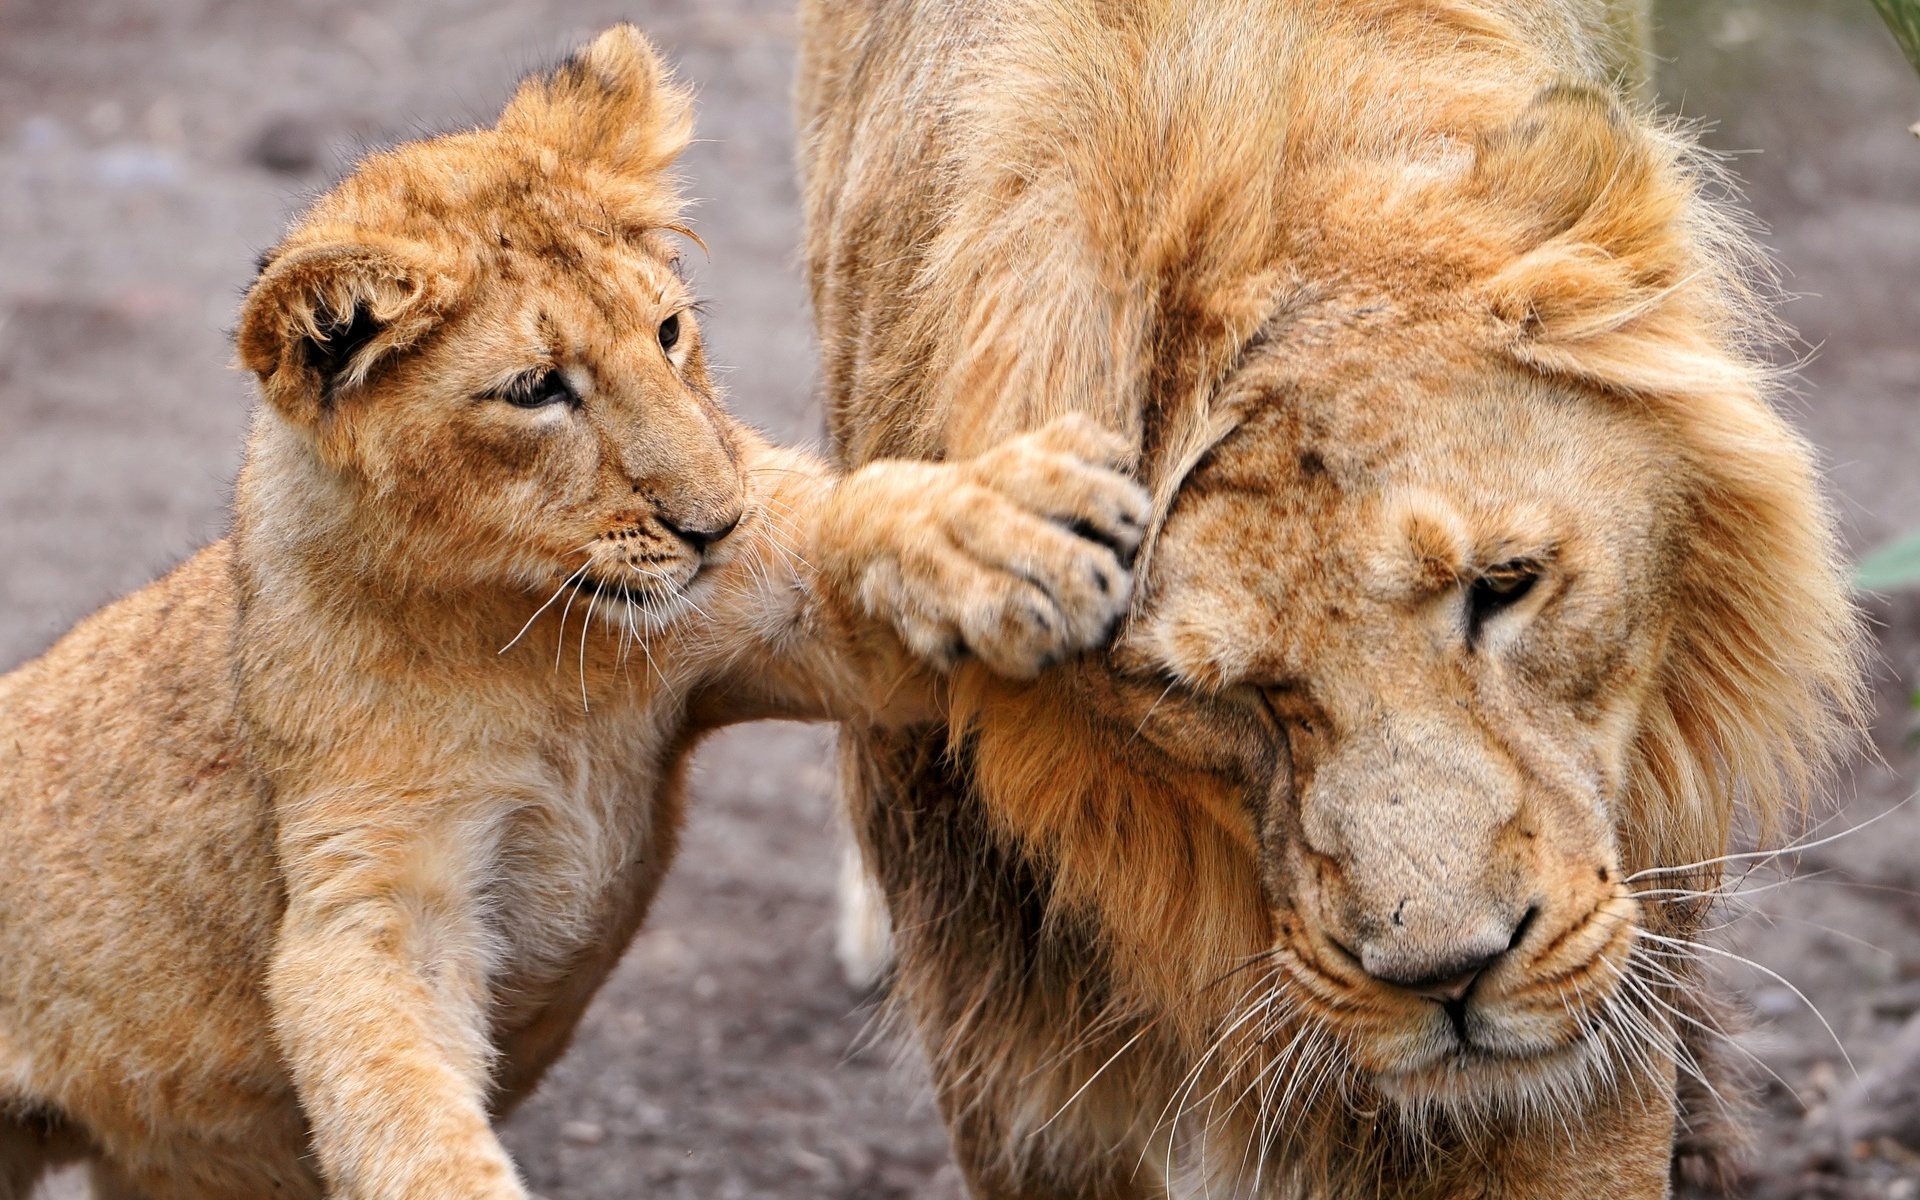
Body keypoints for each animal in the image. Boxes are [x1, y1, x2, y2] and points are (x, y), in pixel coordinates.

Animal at [0, 26, 1150, 1200]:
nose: (717, 524)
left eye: (670, 330)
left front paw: (1006, 526)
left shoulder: (759, 635)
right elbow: (405, 1110)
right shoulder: (368, 892)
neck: (531, 643)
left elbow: (845, 520)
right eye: (536, 389)